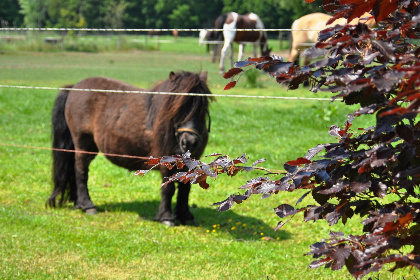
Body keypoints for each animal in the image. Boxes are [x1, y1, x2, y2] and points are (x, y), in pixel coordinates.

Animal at [48, 71, 213, 226]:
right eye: (177, 107)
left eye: (203, 107)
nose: (189, 142)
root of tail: (74, 87)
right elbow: (169, 188)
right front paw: (166, 218)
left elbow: (185, 189)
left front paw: (186, 216)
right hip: (83, 146)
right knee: (81, 173)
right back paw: (88, 205)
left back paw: (78, 204)